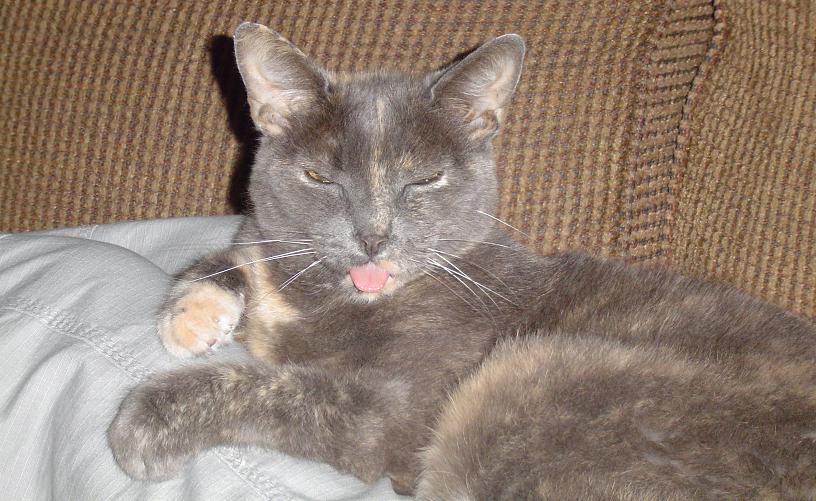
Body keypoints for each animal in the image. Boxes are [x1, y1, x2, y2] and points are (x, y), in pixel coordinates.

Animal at [108, 22, 816, 499]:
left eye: (424, 180)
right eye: (319, 177)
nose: (373, 236)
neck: (325, 297)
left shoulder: (388, 410)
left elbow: (276, 388)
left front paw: (144, 422)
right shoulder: (269, 247)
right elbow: (235, 253)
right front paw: (194, 314)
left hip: (528, 375)